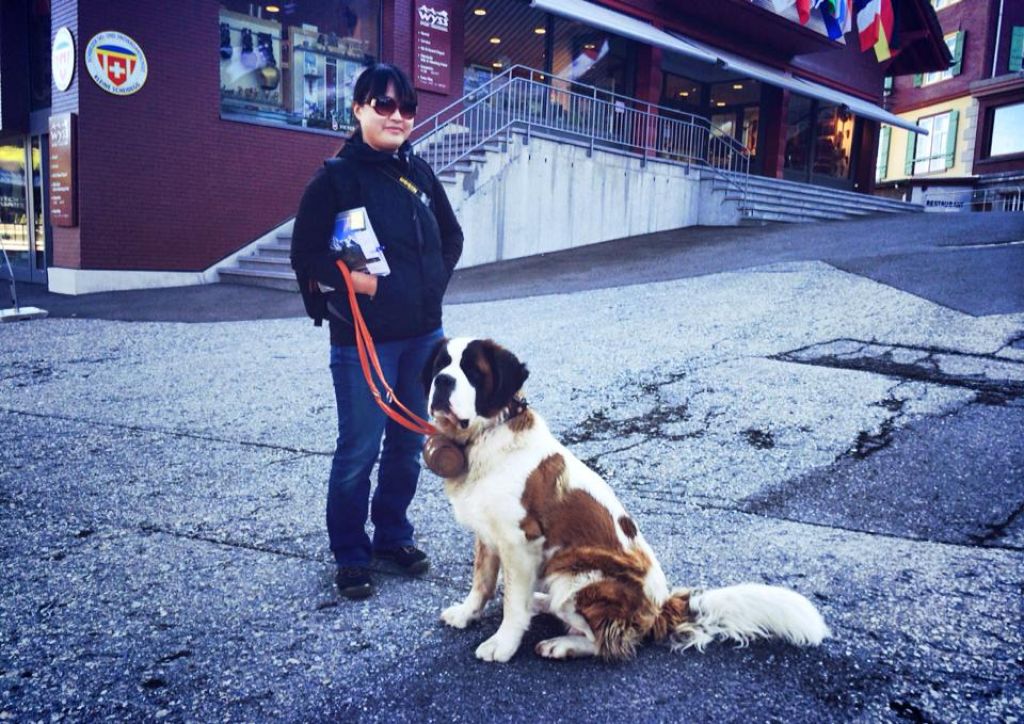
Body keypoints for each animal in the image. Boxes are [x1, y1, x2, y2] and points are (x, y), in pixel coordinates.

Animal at [423, 339, 831, 663]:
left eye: (472, 372)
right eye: (441, 364)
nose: (441, 381)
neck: (484, 437)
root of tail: (660, 605)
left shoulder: (520, 543)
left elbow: (511, 604)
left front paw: (502, 645)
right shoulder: (488, 537)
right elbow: (482, 582)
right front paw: (466, 614)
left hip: (574, 577)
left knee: (610, 641)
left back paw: (561, 644)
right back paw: (542, 605)